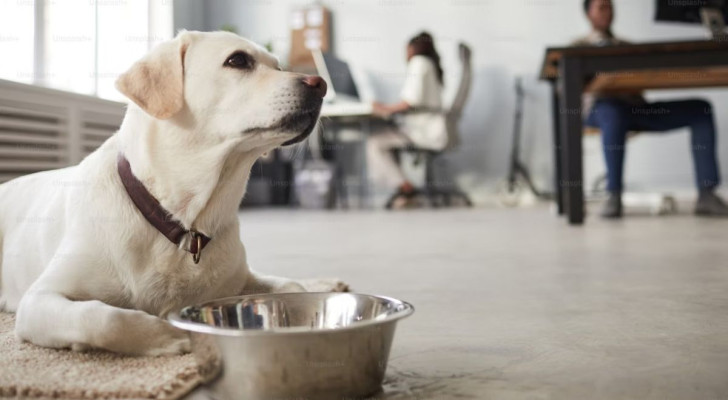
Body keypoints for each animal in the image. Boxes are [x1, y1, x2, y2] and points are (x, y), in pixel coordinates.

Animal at [0, 31, 346, 356]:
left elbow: (292, 286)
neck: (182, 222)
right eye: (238, 60)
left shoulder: (242, 277)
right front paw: (169, 336)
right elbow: (104, 318)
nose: (320, 85)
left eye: (278, 66)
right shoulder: (39, 299)